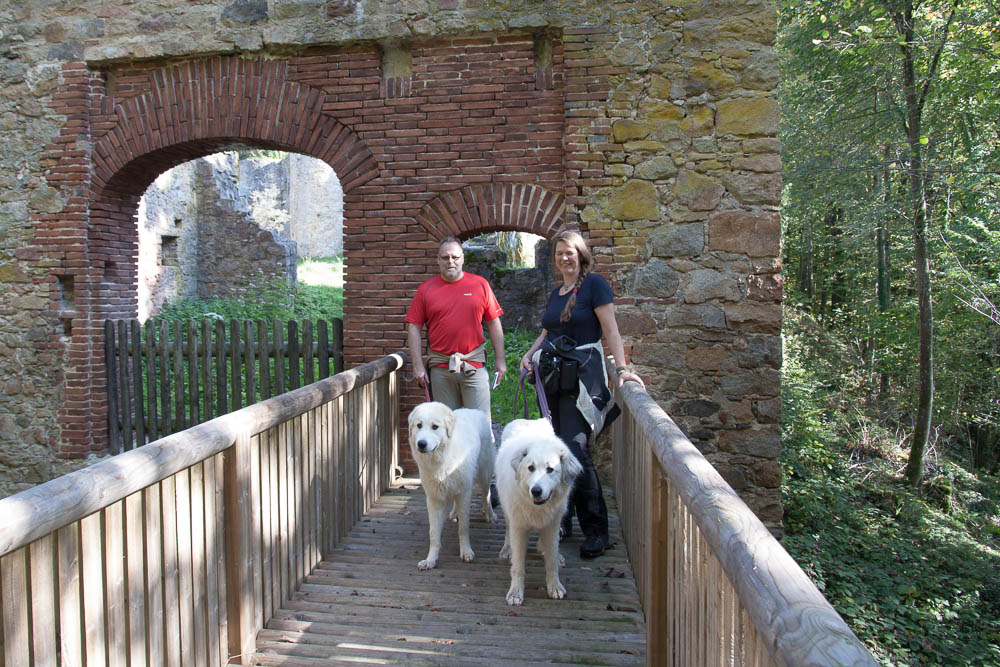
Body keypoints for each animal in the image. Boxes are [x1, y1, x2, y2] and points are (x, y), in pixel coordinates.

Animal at [408, 400, 498, 572]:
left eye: (435, 427)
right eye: (419, 425)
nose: (421, 444)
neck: (442, 460)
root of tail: (473, 411)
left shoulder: (464, 493)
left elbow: (463, 528)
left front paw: (466, 552)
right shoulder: (434, 499)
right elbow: (433, 533)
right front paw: (430, 560)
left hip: (485, 472)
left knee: (486, 494)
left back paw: (489, 514)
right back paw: (454, 513)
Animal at [496, 420, 584, 608]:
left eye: (550, 469)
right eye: (531, 468)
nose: (536, 491)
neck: (537, 508)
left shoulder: (552, 526)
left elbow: (551, 562)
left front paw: (555, 587)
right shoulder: (519, 527)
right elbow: (518, 566)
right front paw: (515, 593)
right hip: (507, 508)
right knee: (507, 529)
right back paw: (507, 550)